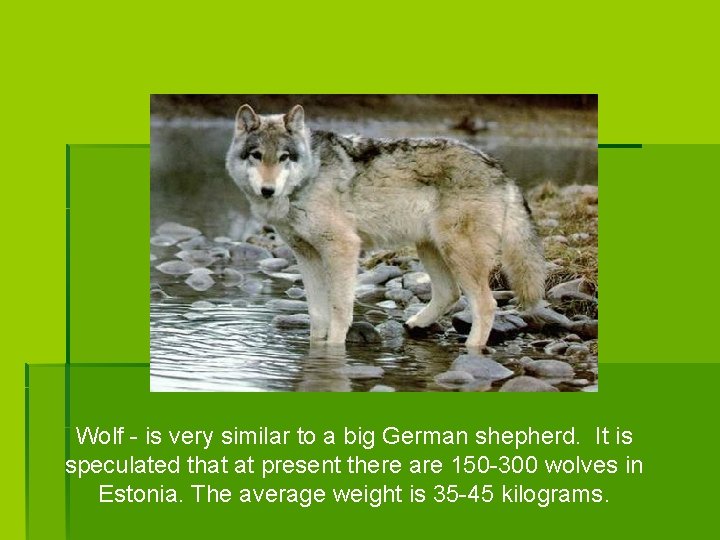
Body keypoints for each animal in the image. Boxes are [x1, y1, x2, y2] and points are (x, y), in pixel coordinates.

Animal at [226, 104, 546, 350]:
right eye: (256, 155)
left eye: (284, 157)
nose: (267, 190)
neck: (309, 178)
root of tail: (499, 168)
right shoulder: (306, 255)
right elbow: (317, 313)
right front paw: (315, 348)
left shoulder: (342, 248)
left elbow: (339, 309)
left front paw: (333, 350)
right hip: (429, 248)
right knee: (449, 294)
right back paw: (417, 325)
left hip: (458, 253)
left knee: (485, 304)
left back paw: (472, 350)